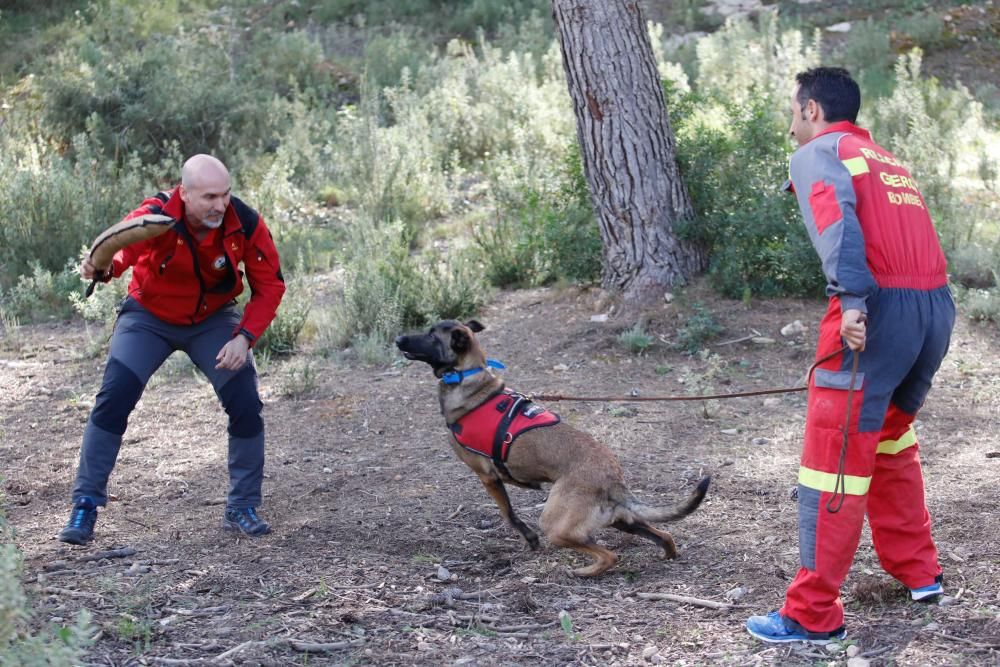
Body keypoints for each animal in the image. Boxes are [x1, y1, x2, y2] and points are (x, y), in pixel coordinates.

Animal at [394, 320, 708, 576]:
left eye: (431, 334)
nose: (398, 339)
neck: (468, 378)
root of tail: (613, 479)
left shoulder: (488, 477)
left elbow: (508, 514)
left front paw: (529, 538)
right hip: (621, 520)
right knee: (665, 536)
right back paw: (665, 556)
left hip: (555, 524)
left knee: (609, 555)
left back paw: (582, 572)